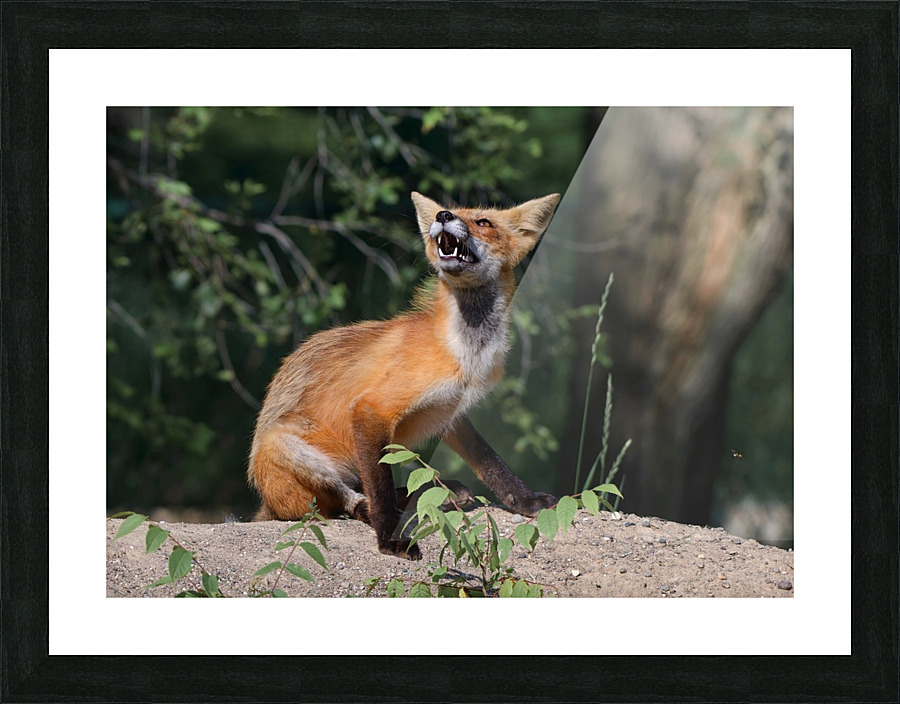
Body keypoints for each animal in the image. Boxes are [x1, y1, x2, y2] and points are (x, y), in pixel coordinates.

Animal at [247, 191, 560, 559]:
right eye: (450, 213)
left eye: (484, 222)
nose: (442, 215)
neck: (464, 351)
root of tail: (268, 506)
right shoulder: (371, 410)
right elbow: (380, 491)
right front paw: (389, 539)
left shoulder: (451, 412)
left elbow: (492, 464)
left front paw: (526, 501)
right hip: (283, 447)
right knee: (349, 501)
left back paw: (438, 494)